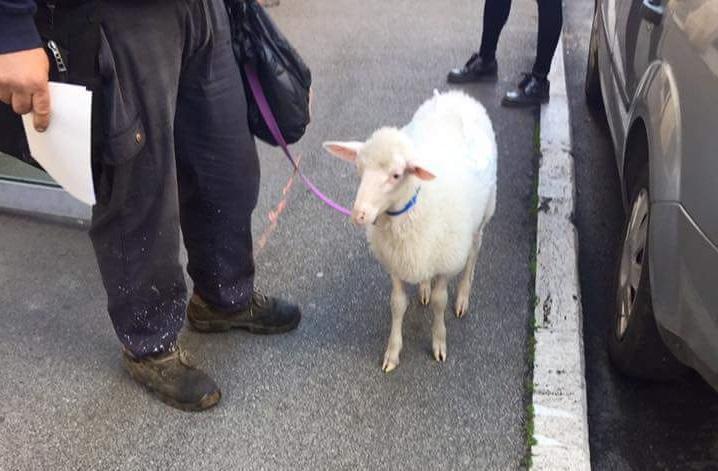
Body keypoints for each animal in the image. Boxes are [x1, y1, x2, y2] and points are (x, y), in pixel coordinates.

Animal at [323, 90, 497, 372]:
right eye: (359, 169)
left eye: (396, 175)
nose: (359, 215)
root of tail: (454, 95)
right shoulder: (395, 261)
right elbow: (397, 304)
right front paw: (392, 353)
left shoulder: (446, 262)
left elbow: (439, 302)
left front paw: (439, 342)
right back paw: (424, 288)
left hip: (484, 214)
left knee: (474, 252)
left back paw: (462, 296)